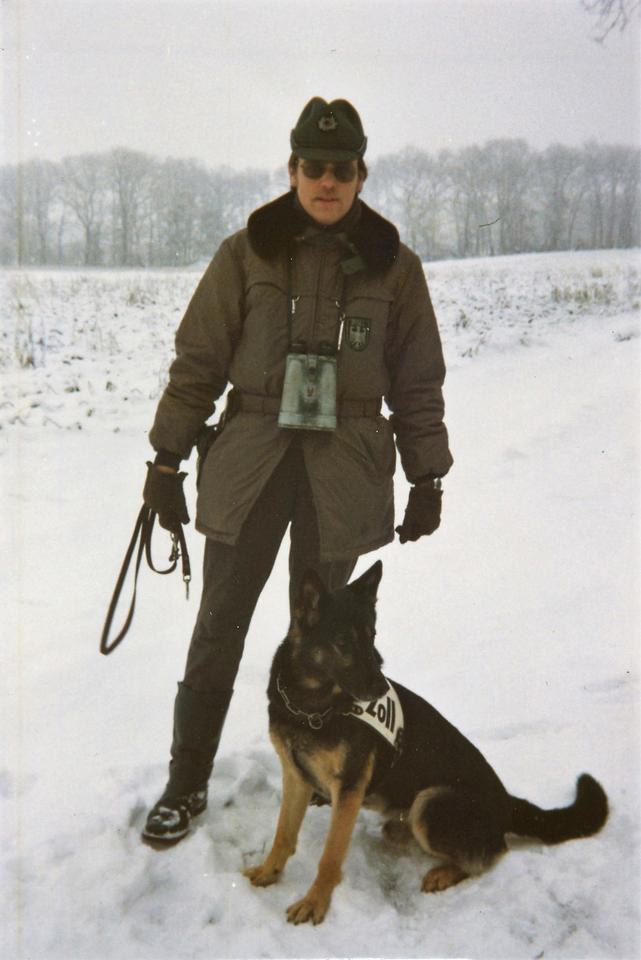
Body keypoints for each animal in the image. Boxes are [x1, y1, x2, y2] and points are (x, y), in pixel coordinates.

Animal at [242, 560, 608, 928]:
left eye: (371, 637)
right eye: (343, 642)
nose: (380, 686)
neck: (311, 707)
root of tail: (506, 800)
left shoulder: (348, 789)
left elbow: (330, 856)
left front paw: (315, 902)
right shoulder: (296, 777)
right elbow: (284, 834)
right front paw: (269, 873)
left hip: (428, 803)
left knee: (493, 853)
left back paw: (443, 873)